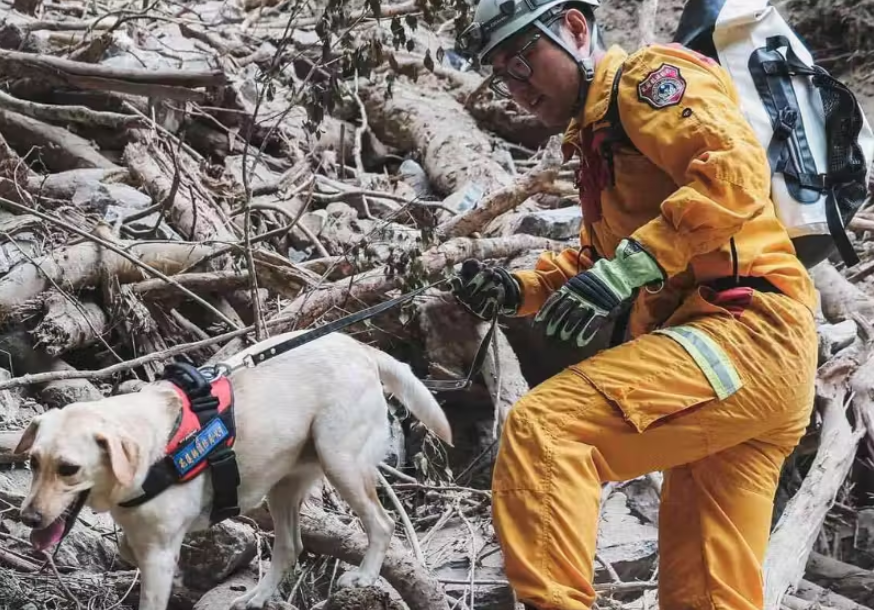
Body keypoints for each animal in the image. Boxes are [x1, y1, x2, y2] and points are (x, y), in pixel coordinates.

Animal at [13, 330, 454, 604]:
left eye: (68, 469)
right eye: (33, 462)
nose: (28, 519)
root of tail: (361, 348)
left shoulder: (159, 554)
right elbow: (125, 545)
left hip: (340, 460)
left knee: (382, 523)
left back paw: (364, 575)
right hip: (285, 484)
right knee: (290, 546)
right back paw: (259, 596)